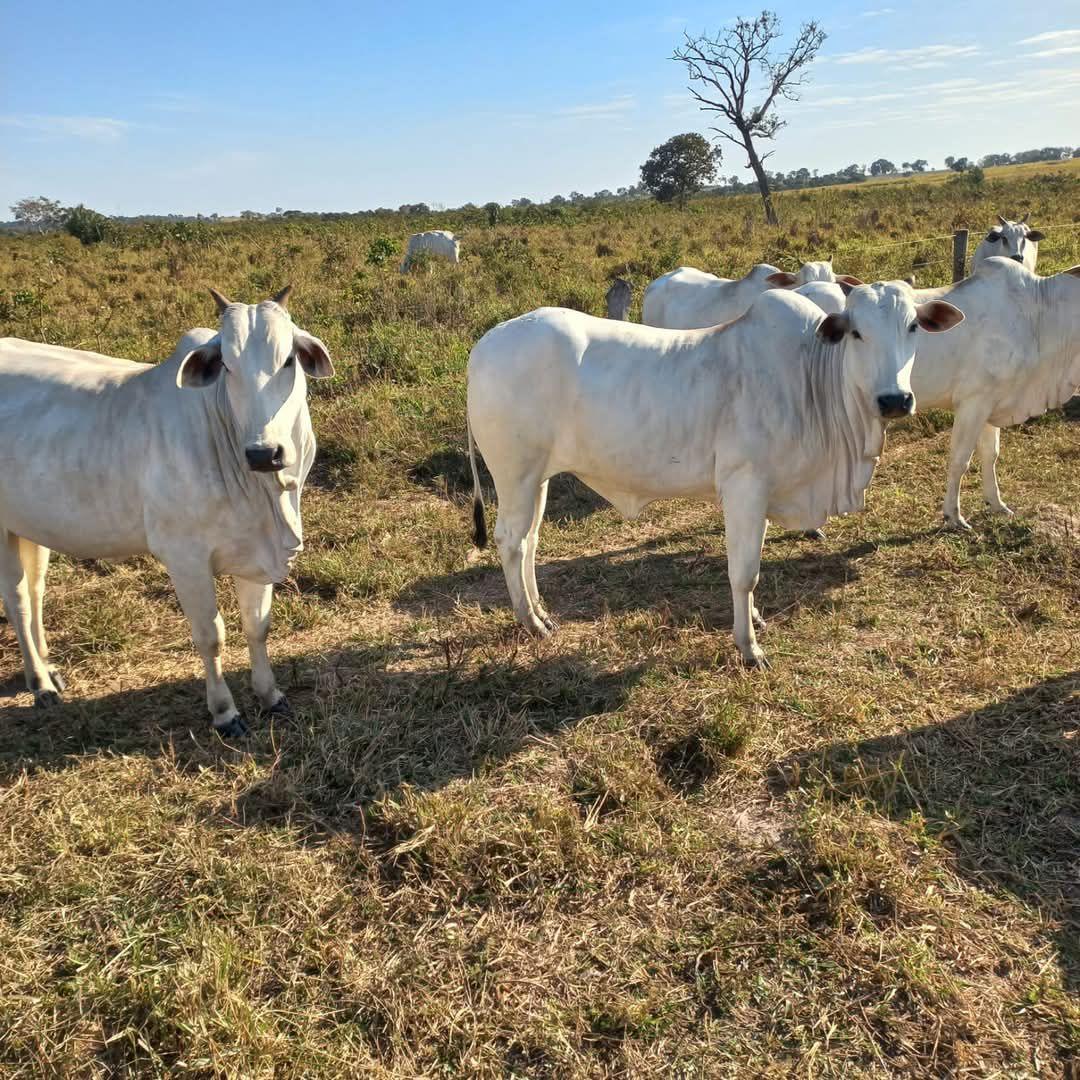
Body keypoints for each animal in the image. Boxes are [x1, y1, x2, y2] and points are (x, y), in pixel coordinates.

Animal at [0, 286, 334, 736]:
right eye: (226, 365)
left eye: (288, 360)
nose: (264, 453)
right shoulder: (184, 558)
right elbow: (211, 636)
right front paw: (225, 712)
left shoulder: (256, 553)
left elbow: (257, 626)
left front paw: (270, 695)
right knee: (17, 598)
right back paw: (40, 683)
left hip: (32, 526)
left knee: (35, 591)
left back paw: (49, 669)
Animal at [466, 286, 963, 666]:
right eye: (857, 332)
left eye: (913, 327)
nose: (894, 400)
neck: (812, 378)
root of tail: (485, 344)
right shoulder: (747, 487)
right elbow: (744, 573)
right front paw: (749, 647)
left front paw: (755, 619)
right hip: (515, 474)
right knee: (510, 540)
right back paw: (530, 621)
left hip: (538, 478)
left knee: (529, 541)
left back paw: (541, 611)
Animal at [905, 258, 1080, 528]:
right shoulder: (973, 402)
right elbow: (960, 461)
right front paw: (953, 515)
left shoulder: (990, 402)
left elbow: (990, 455)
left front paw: (996, 504)